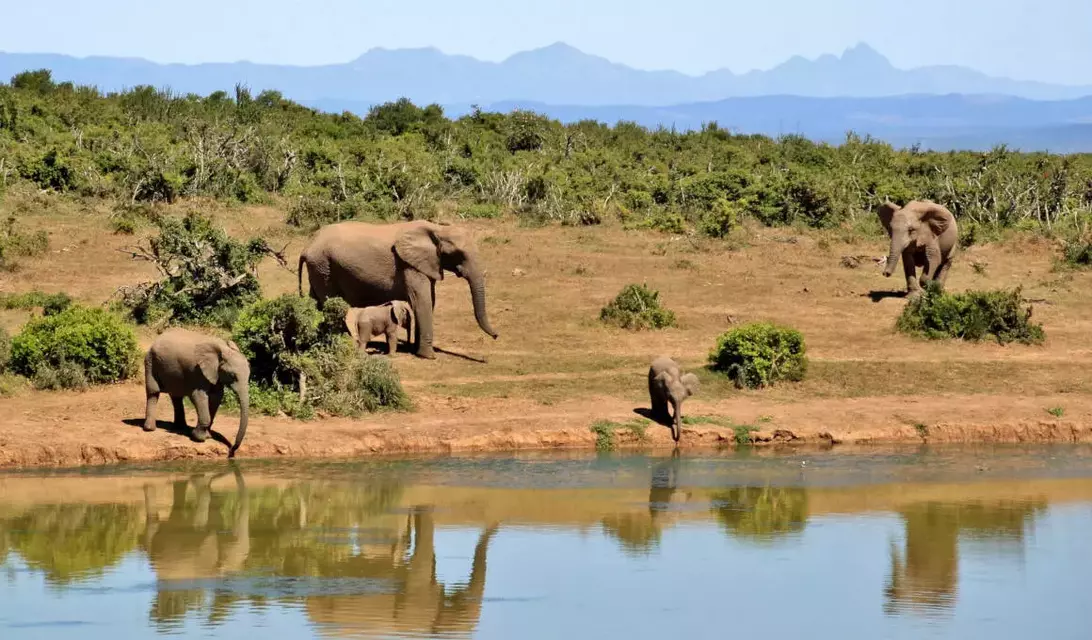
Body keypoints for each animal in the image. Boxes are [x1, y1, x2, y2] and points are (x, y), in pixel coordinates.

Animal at [140, 325, 250, 456]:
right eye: (232, 375)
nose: (232, 450)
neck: (222, 350)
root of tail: (157, 338)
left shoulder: (215, 374)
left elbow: (216, 398)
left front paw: (208, 436)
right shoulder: (198, 372)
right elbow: (199, 396)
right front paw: (199, 438)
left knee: (176, 396)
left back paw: (180, 428)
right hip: (150, 361)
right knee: (153, 392)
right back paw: (150, 429)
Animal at [297, 219, 497, 358]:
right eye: (459, 254)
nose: (496, 336)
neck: (437, 229)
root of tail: (307, 246)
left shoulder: (425, 264)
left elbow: (429, 301)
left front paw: (417, 350)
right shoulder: (409, 265)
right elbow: (422, 301)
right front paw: (428, 356)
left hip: (319, 268)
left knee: (316, 302)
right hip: (324, 266)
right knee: (330, 303)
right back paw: (346, 342)